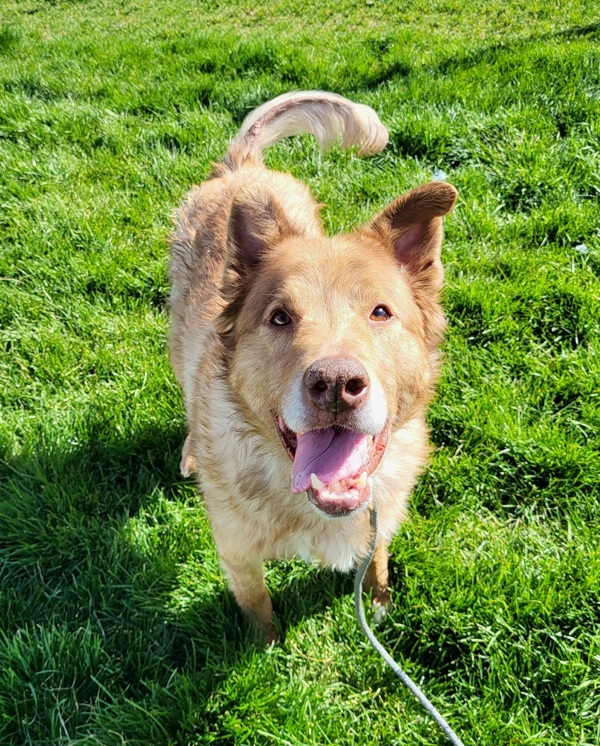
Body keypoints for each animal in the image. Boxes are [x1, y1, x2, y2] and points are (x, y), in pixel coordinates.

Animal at [166, 91, 458, 640]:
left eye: (381, 312)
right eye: (280, 317)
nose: (336, 384)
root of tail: (242, 169)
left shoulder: (379, 518)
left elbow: (377, 560)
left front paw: (380, 604)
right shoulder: (236, 552)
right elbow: (257, 605)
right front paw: (266, 646)